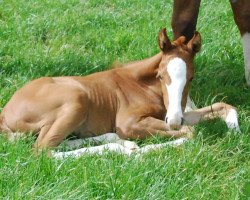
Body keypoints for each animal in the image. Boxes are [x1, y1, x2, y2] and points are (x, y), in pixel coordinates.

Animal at [0, 28, 240, 158]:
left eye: (191, 78)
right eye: (161, 75)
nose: (173, 120)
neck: (142, 84)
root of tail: (4, 113)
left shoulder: (174, 113)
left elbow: (223, 107)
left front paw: (235, 133)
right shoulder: (128, 122)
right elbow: (190, 133)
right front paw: (140, 151)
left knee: (55, 142)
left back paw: (117, 141)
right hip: (77, 99)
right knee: (42, 150)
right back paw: (124, 148)